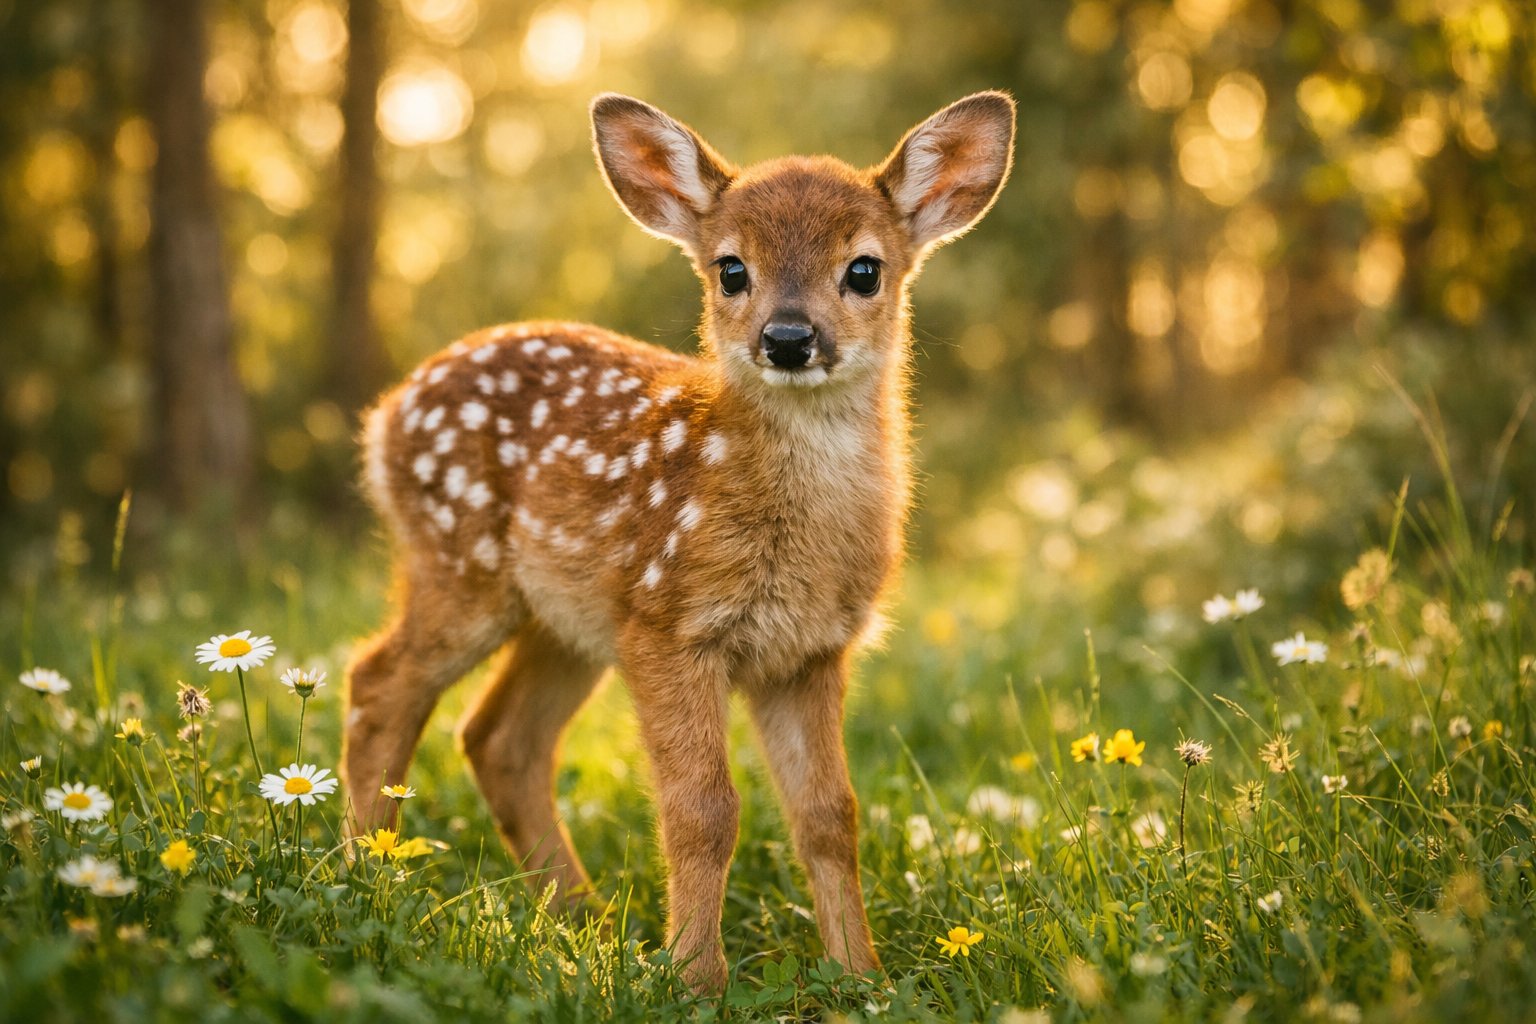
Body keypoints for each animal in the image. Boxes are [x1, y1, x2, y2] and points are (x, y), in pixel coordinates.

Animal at [341, 91, 1015, 992]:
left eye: (864, 269)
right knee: (378, 681)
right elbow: (704, 810)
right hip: (464, 566)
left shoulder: (808, 652)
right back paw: (364, 878)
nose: (788, 338)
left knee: (501, 738)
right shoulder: (672, 624)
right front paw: (696, 978)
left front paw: (860, 975)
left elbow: (829, 814)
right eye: (731, 269)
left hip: (573, 619)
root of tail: (384, 418)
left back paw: (586, 919)